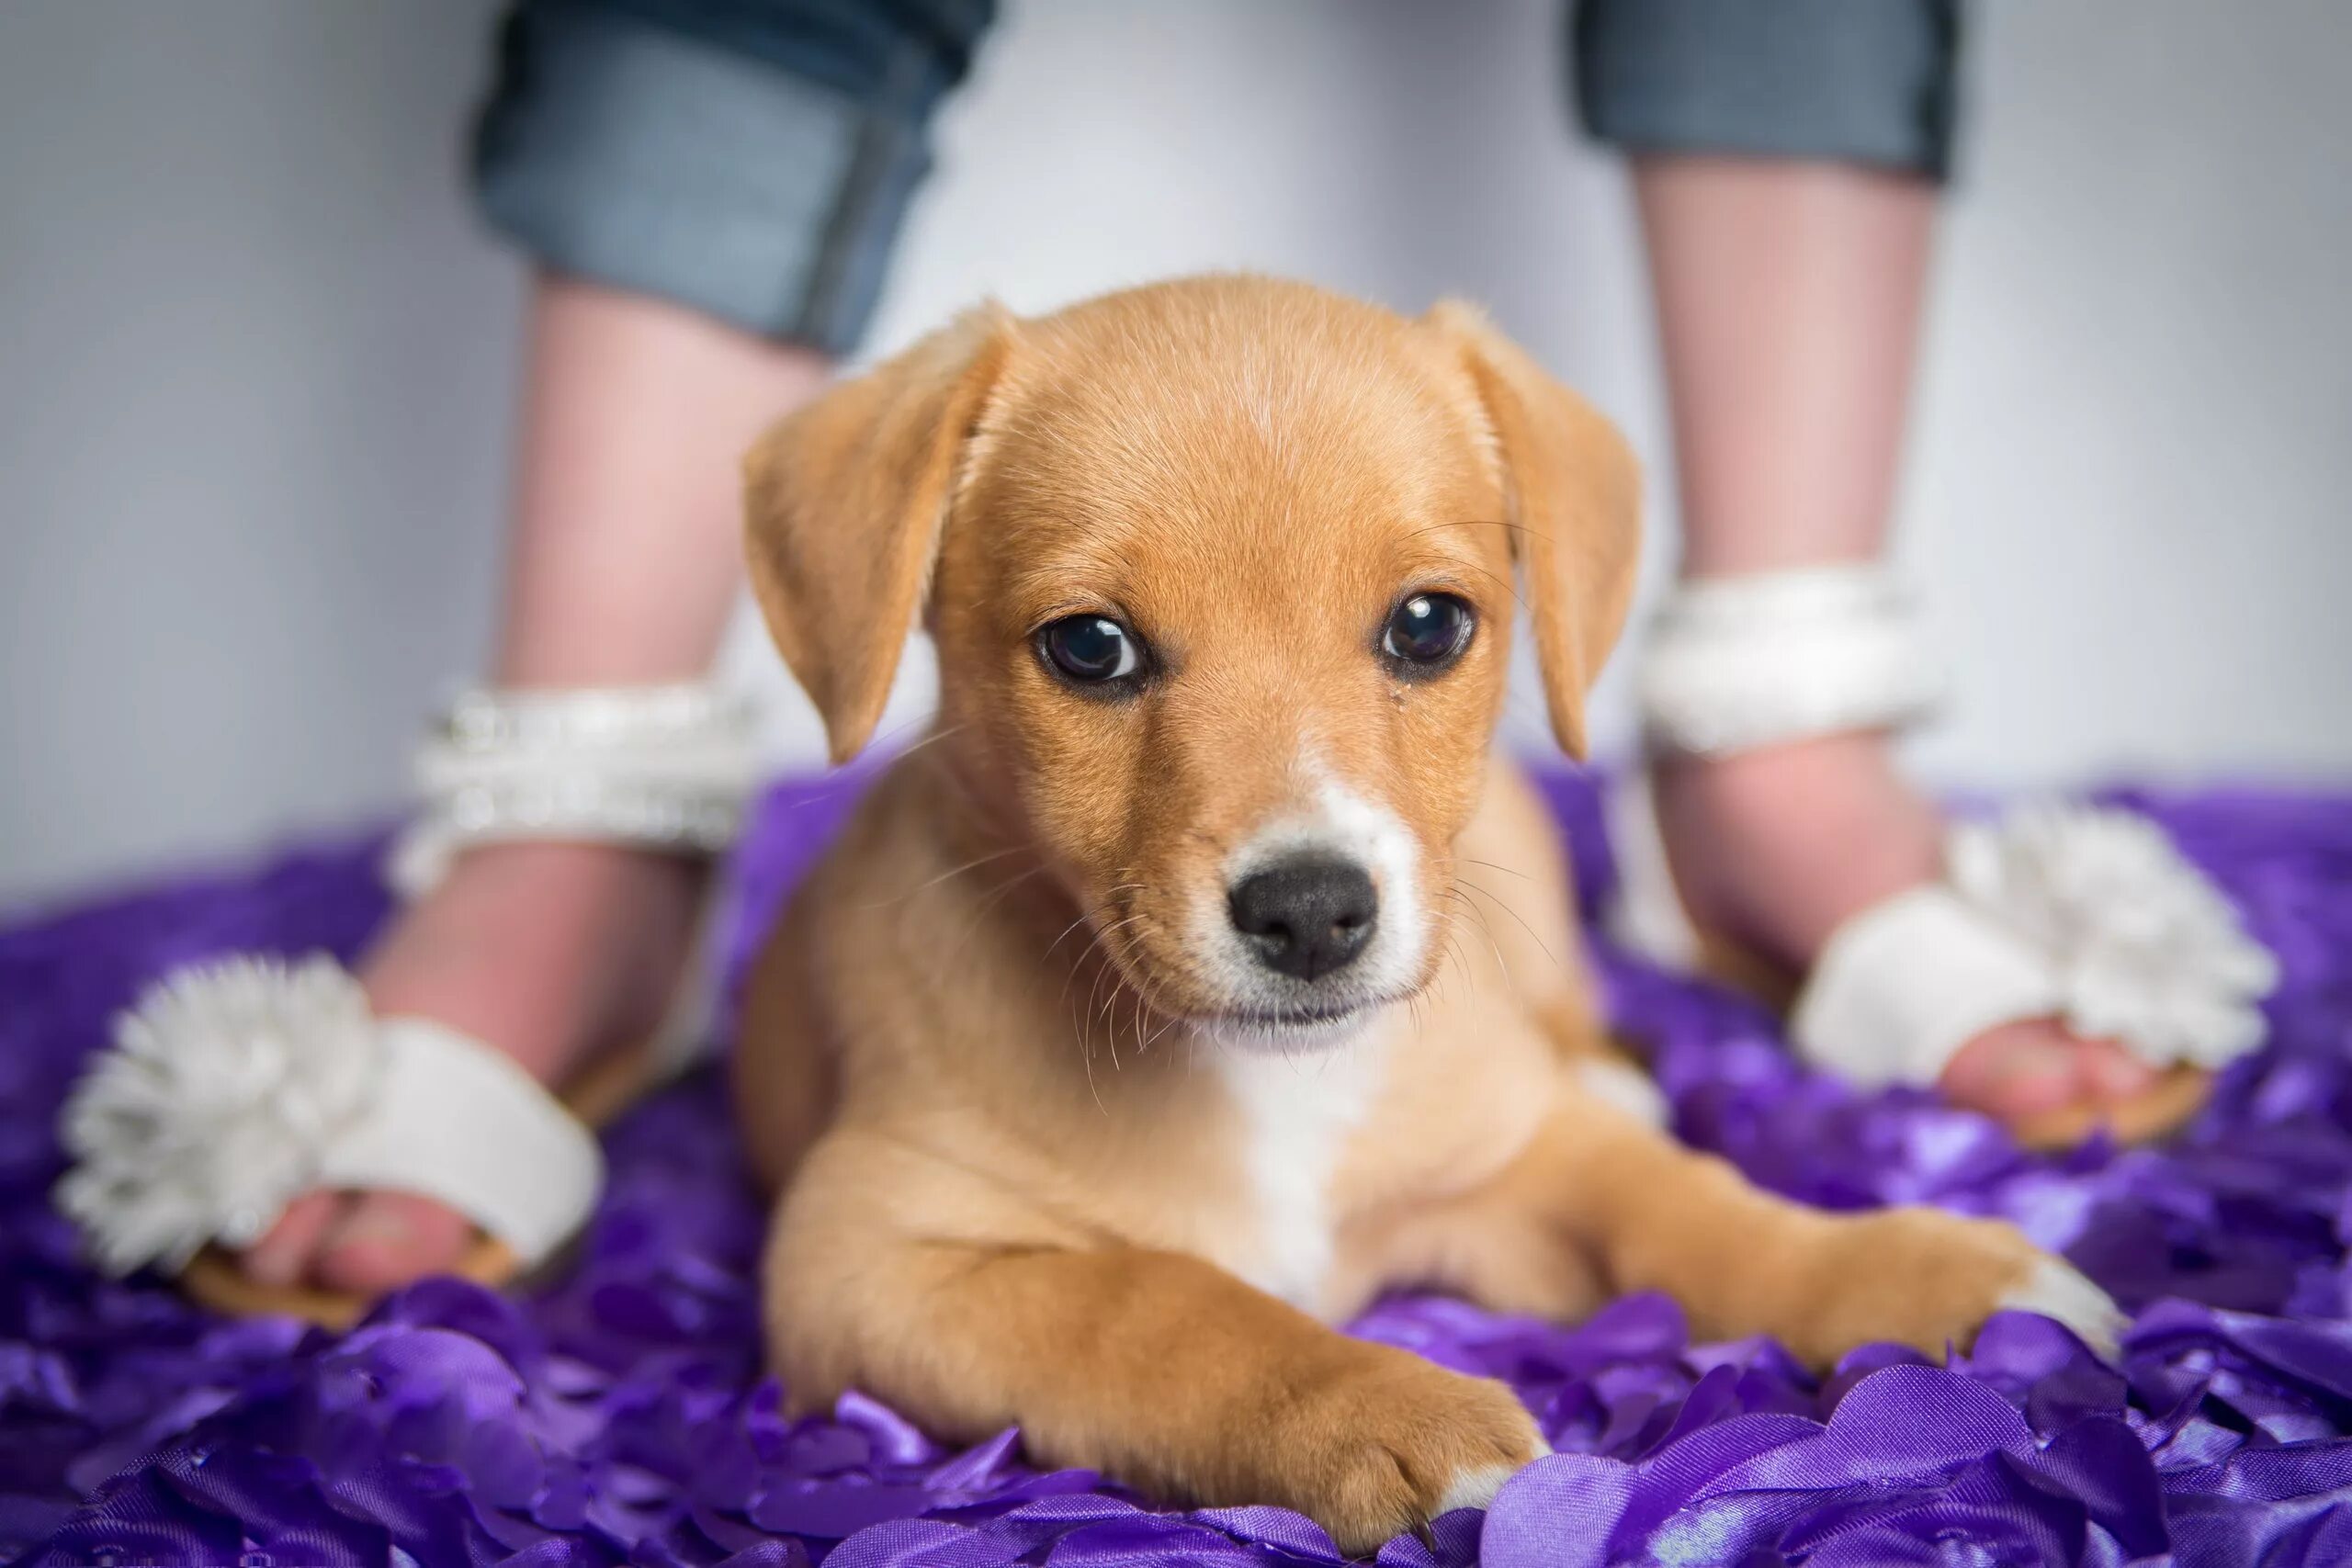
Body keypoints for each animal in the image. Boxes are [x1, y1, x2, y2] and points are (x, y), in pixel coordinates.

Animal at [729, 276, 2117, 1551]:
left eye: (1428, 624)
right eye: (1089, 648)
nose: (1310, 912)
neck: (1269, 1084)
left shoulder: (1520, 1162)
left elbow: (1695, 1207)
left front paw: (1917, 1274)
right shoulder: (868, 1258)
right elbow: (1160, 1303)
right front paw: (1393, 1411)